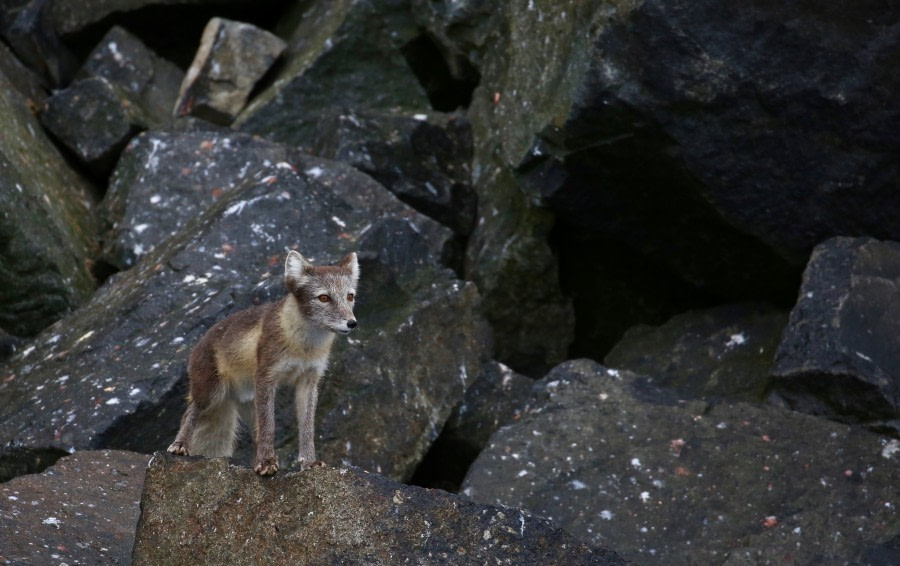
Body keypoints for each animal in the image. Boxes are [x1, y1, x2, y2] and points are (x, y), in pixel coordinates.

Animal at [167, 251, 356, 478]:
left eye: (350, 296)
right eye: (324, 298)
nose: (352, 323)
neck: (304, 347)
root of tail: (197, 345)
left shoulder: (309, 380)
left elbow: (307, 427)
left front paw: (309, 463)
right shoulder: (267, 376)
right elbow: (270, 426)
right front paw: (266, 463)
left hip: (248, 401)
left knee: (254, 433)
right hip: (212, 393)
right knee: (189, 412)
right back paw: (180, 445)